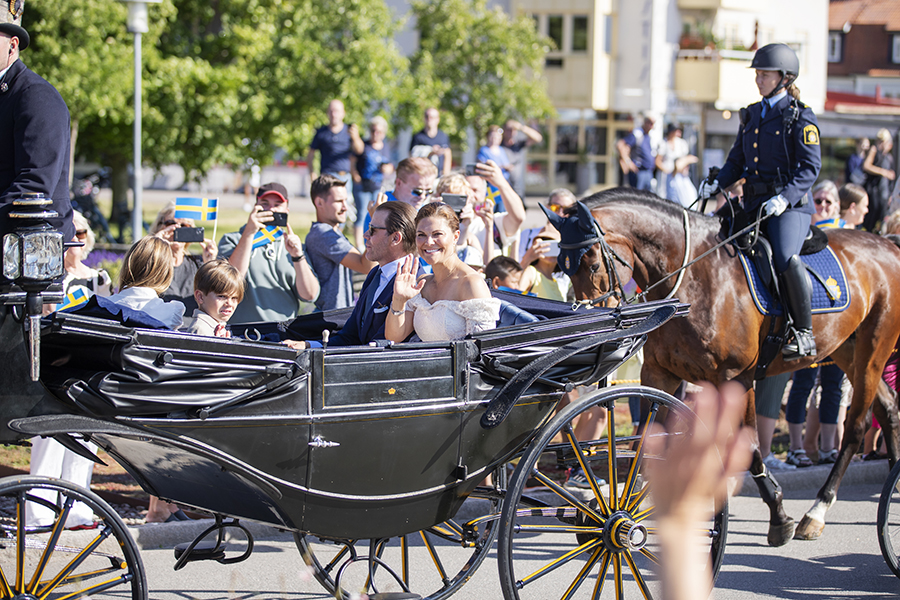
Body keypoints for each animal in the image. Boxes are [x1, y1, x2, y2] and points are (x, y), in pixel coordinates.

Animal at [544, 190, 900, 548]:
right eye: (562, 268)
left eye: (592, 264)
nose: (589, 324)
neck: (692, 278)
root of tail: (888, 243)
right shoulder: (659, 374)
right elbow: (645, 442)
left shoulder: (737, 378)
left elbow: (750, 447)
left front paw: (778, 516)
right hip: (847, 350)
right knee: (887, 409)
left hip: (872, 351)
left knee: (857, 426)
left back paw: (817, 510)